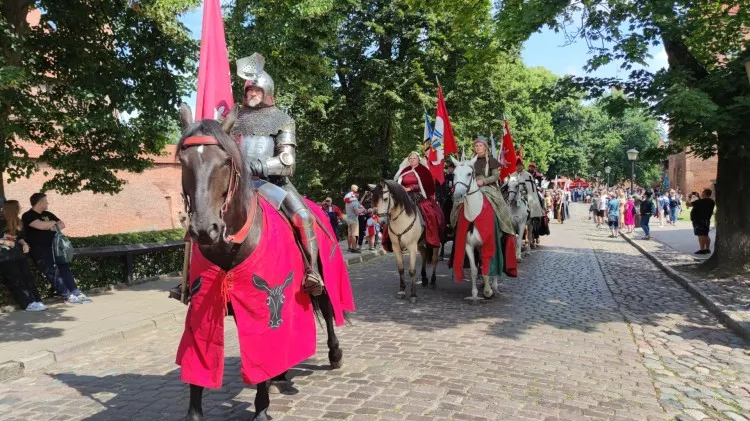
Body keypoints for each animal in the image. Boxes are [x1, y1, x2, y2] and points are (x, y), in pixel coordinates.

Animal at [177, 105, 350, 420]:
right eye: (183, 162)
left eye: (225, 162)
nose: (204, 229)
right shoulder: (205, 304)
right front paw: (194, 412)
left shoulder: (261, 304)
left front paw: (261, 409)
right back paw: (280, 375)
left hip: (320, 275)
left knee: (328, 308)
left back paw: (334, 354)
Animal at [452, 156, 500, 300]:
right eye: (454, 174)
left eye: (469, 174)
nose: (457, 195)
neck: (475, 213)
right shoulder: (469, 245)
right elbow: (474, 269)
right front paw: (474, 293)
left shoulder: (488, 243)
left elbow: (487, 267)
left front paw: (488, 291)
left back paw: (494, 286)